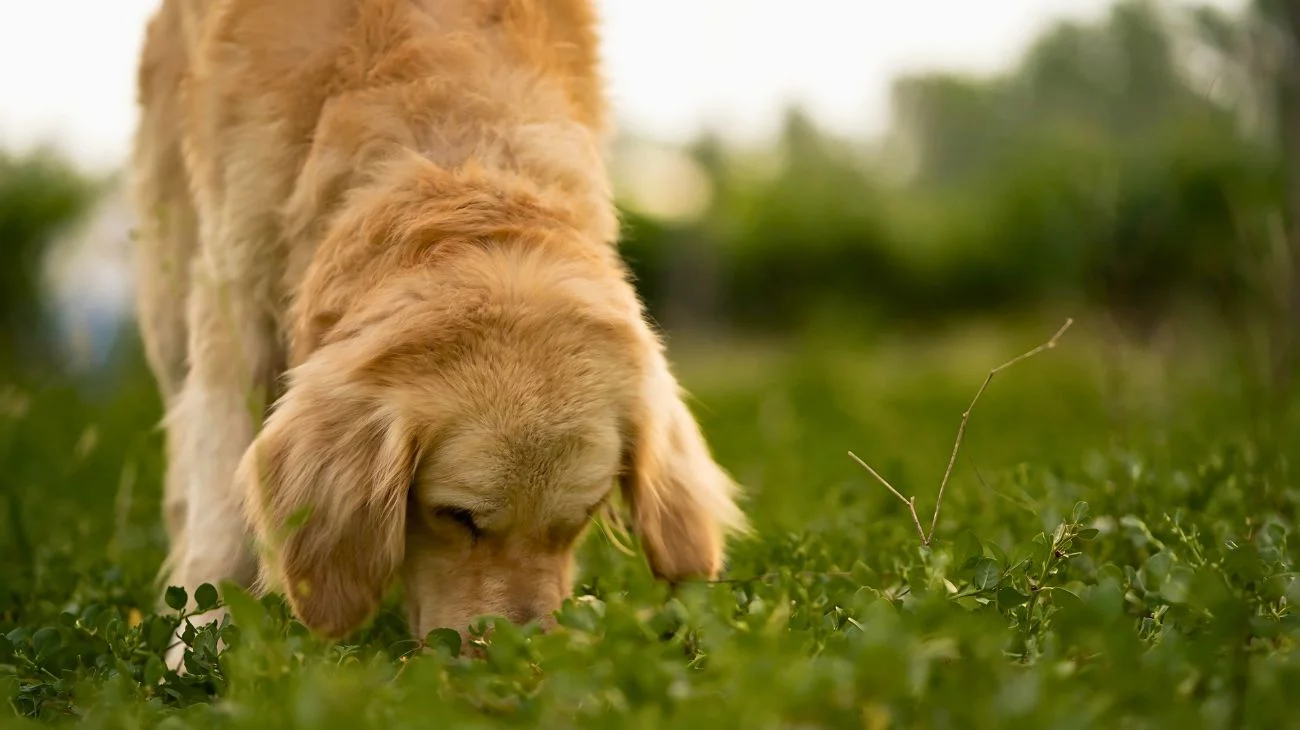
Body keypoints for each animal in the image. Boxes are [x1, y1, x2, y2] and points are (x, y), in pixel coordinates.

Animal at [130, 0, 748, 659]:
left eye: (577, 520)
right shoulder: (235, 291)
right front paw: (199, 649)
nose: (523, 657)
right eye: (457, 516)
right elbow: (221, 508)